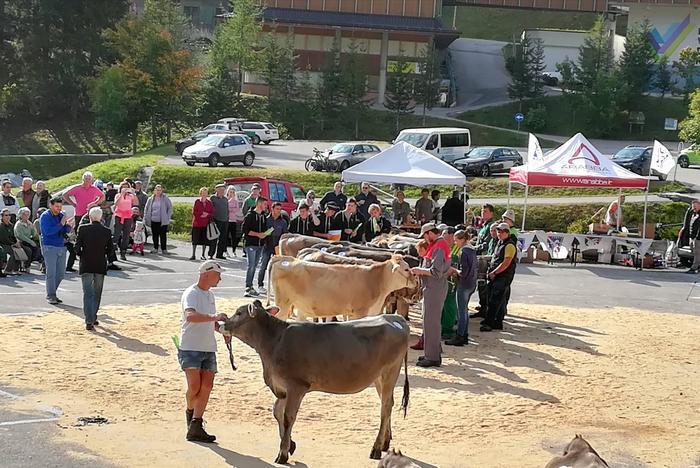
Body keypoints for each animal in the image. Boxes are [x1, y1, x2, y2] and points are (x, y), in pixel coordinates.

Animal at [220, 300, 410, 464]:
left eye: (239, 313)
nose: (222, 324)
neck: (275, 341)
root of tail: (395, 318)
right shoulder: (282, 387)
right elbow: (277, 412)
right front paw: (290, 445)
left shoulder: (296, 386)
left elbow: (288, 417)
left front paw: (283, 454)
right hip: (379, 377)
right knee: (389, 403)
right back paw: (385, 442)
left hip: (390, 371)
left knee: (385, 407)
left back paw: (376, 448)